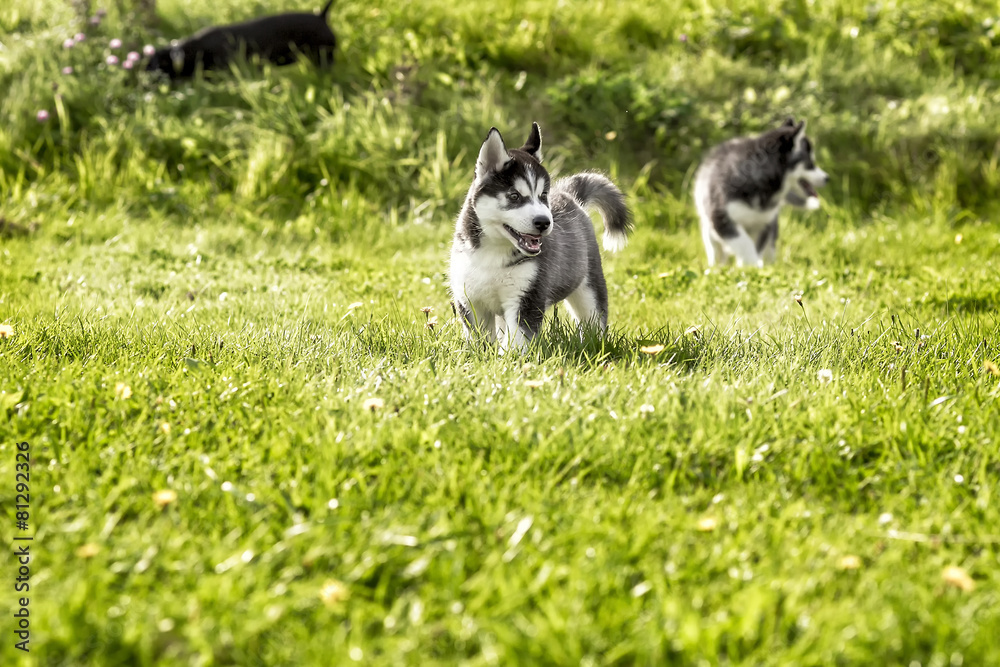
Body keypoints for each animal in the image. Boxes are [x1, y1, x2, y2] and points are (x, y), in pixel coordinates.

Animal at [448, 123, 628, 358]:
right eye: (514, 196)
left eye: (543, 195)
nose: (544, 222)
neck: (494, 252)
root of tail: (569, 195)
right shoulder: (470, 301)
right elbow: (479, 339)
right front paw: (481, 358)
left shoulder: (526, 298)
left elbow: (517, 341)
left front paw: (510, 361)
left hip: (589, 285)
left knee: (594, 318)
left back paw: (595, 345)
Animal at [696, 118, 828, 268]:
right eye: (810, 163)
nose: (827, 178)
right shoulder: (721, 219)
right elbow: (745, 244)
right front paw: (751, 266)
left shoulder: (763, 223)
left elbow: (755, 247)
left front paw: (751, 268)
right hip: (708, 225)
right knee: (715, 250)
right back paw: (715, 267)